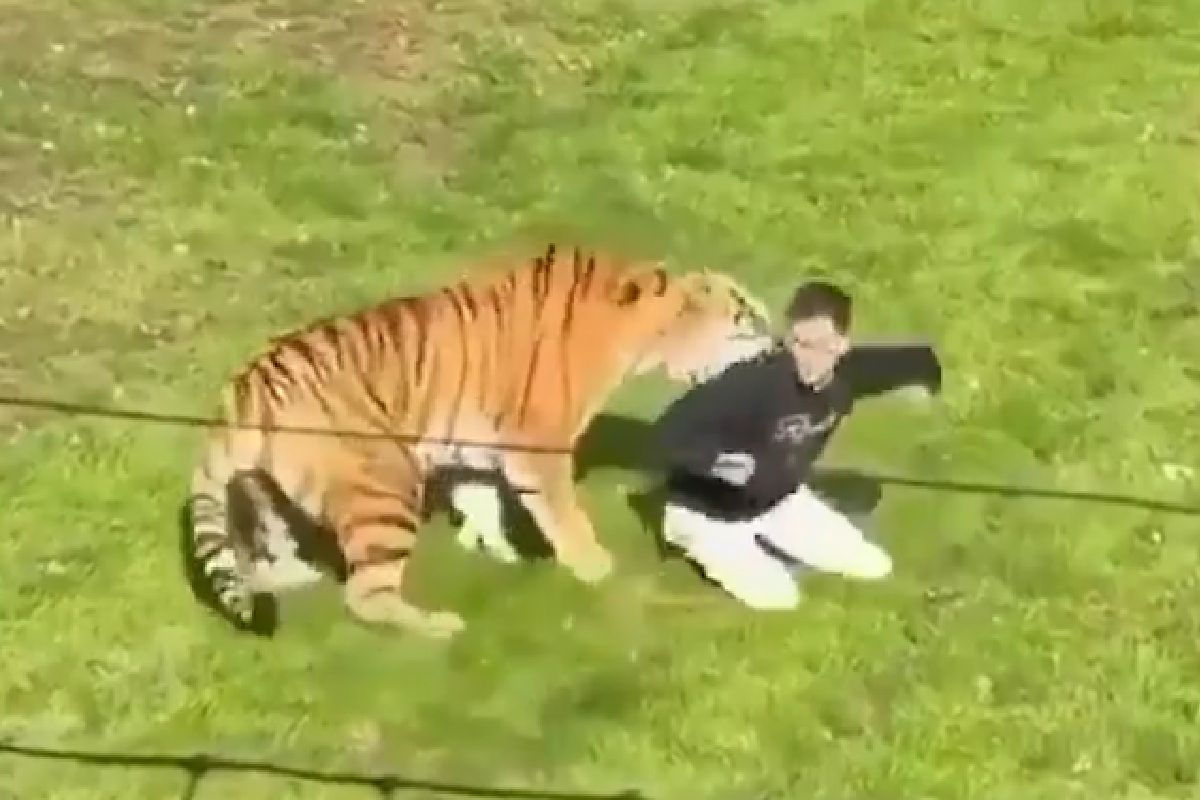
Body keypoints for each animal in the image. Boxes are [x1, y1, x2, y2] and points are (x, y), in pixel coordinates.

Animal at [187, 243, 772, 639]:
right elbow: (564, 516)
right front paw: (597, 570)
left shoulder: (474, 443)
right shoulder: (539, 447)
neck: (645, 331)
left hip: (269, 488)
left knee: (269, 560)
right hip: (385, 480)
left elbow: (482, 498)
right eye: (745, 314)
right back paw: (437, 626)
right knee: (364, 593)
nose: (776, 342)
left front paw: (498, 553)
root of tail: (246, 383)